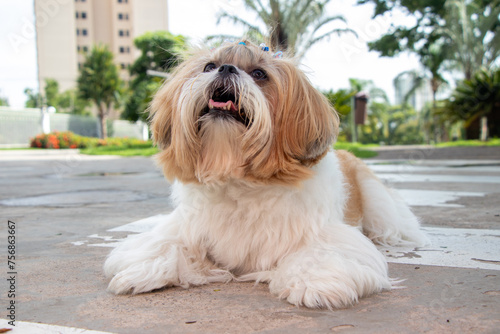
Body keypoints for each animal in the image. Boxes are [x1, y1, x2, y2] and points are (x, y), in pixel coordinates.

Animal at [104, 40, 426, 310]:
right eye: (209, 66)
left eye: (259, 74)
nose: (226, 68)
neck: (238, 176)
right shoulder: (185, 227)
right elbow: (163, 244)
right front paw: (142, 271)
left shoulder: (327, 235)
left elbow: (321, 254)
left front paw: (315, 283)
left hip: (381, 210)